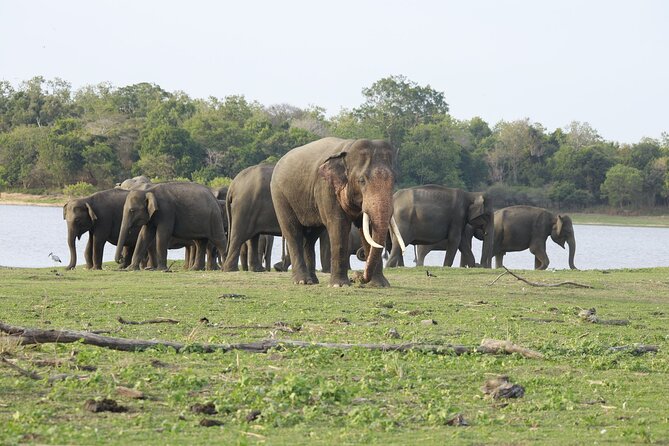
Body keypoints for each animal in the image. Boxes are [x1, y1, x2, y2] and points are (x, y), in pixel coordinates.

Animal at [268, 138, 404, 288]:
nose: (359, 278)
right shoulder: (327, 188)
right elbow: (339, 225)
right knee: (293, 233)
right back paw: (302, 281)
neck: (348, 148)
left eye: (394, 180)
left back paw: (312, 281)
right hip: (280, 196)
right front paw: (340, 285)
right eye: (362, 180)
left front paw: (380, 284)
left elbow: (368, 230)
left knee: (310, 238)